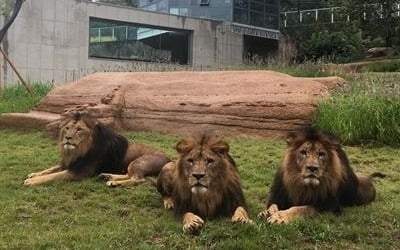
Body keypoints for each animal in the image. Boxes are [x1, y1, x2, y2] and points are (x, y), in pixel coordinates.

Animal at [23, 111, 170, 186]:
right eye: (67, 128)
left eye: (79, 129)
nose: (67, 138)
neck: (78, 150)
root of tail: (169, 160)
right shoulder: (69, 163)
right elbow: (51, 169)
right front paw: (34, 174)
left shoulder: (79, 172)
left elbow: (54, 175)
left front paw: (31, 181)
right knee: (130, 174)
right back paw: (107, 176)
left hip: (138, 162)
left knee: (138, 179)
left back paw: (113, 182)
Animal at [256, 128, 384, 224]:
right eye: (303, 152)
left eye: (321, 154)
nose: (312, 168)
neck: (303, 186)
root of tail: (368, 177)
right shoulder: (280, 195)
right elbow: (273, 205)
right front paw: (266, 213)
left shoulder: (329, 206)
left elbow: (302, 208)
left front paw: (280, 216)